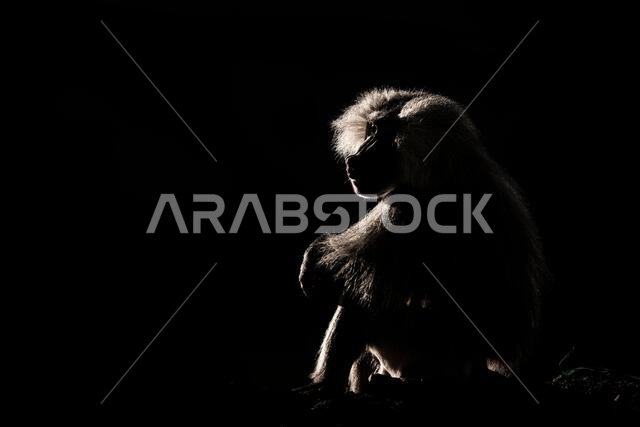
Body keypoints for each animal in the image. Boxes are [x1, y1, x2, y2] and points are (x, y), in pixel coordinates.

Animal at [298, 88, 548, 395]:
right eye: (370, 129)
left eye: (379, 133)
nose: (353, 160)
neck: (447, 168)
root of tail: (478, 365)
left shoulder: (407, 207)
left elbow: (344, 267)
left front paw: (313, 262)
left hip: (421, 350)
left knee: (360, 299)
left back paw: (324, 385)